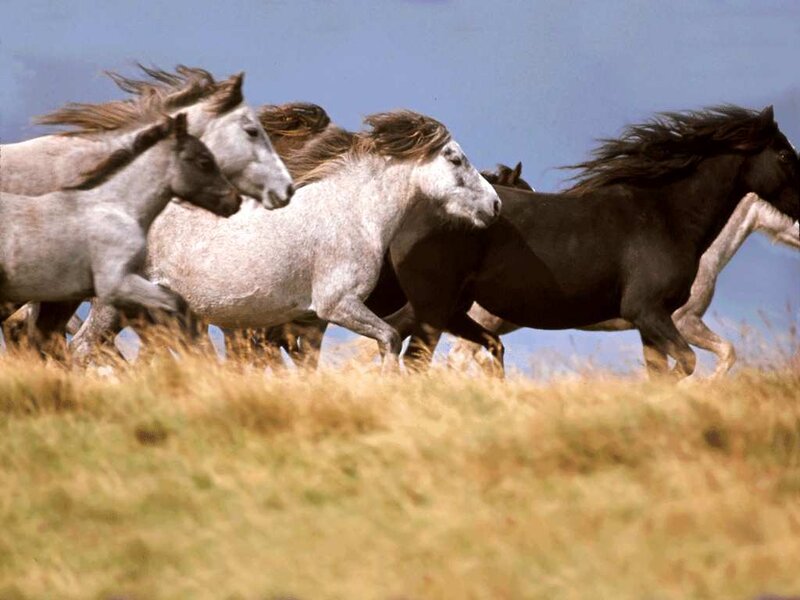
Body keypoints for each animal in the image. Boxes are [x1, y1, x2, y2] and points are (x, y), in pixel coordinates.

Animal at [70, 110, 502, 371]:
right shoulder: (337, 304)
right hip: (114, 307)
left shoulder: (309, 323)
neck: (352, 213)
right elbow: (391, 339)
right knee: (80, 349)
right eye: (455, 159)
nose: (494, 204)